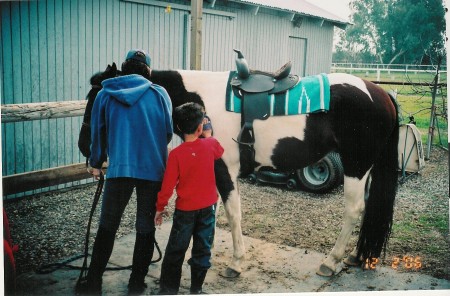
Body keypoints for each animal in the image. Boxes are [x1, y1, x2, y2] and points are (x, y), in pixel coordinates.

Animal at [83, 63, 398, 278]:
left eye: (97, 99)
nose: (86, 148)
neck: (201, 100)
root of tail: (380, 92)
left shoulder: (225, 169)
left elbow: (232, 214)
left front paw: (236, 263)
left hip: (356, 166)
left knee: (354, 210)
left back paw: (331, 261)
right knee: (367, 209)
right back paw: (355, 257)